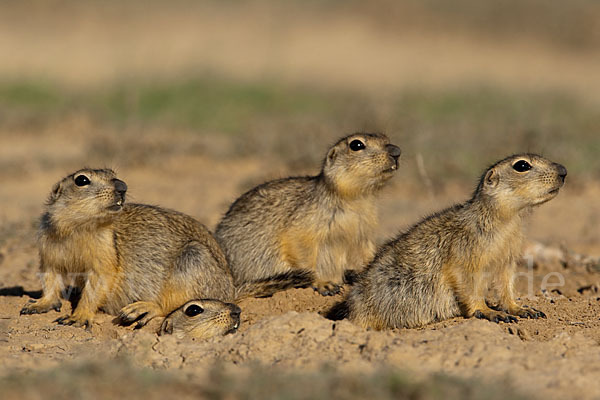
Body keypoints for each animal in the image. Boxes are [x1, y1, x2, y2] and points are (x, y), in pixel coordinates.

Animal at [21, 168, 241, 338]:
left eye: (114, 174)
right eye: (81, 180)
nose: (122, 186)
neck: (78, 227)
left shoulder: (105, 254)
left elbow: (96, 286)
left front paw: (77, 317)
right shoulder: (48, 251)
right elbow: (50, 279)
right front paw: (37, 305)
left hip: (194, 258)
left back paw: (140, 309)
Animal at [217, 134, 404, 296]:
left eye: (387, 138)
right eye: (356, 145)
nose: (397, 151)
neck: (357, 200)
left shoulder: (364, 230)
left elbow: (367, 252)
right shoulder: (307, 221)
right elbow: (301, 248)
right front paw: (324, 284)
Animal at [332, 153, 568, 328]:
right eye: (522, 165)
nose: (564, 171)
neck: (505, 221)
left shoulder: (507, 257)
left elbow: (506, 284)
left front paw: (521, 309)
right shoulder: (466, 248)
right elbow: (467, 281)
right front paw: (487, 311)